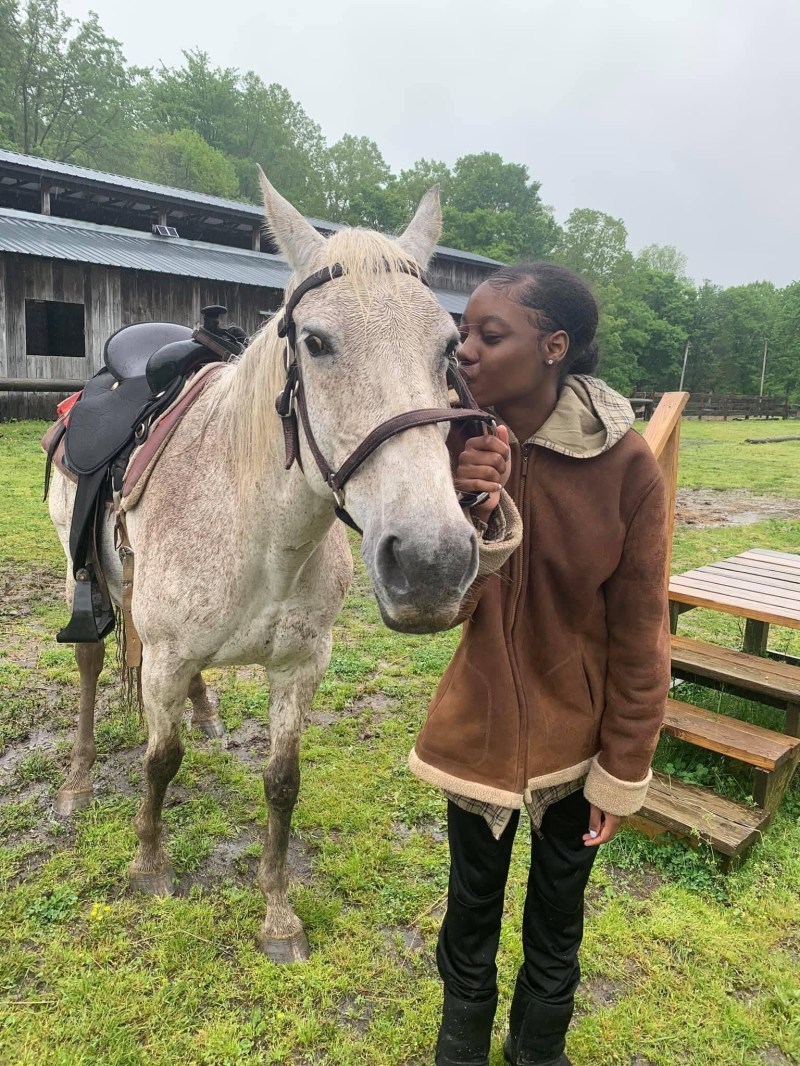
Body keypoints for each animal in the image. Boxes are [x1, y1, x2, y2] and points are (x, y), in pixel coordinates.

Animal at [47, 171, 482, 962]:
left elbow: (282, 782)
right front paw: (148, 864)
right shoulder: (166, 654)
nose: (431, 562)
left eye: (449, 349)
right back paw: (78, 780)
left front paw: (278, 913)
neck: (262, 539)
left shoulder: (299, 666)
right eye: (315, 342)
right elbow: (159, 760)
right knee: (93, 667)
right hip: (82, 578)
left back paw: (206, 712)